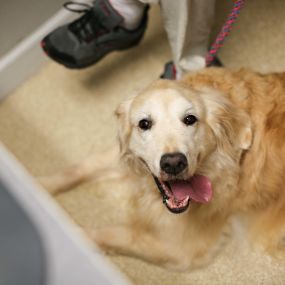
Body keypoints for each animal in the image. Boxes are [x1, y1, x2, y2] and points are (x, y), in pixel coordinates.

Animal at [39, 67, 284, 270]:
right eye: (144, 124)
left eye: (190, 119)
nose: (174, 163)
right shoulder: (130, 159)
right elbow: (80, 168)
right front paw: (40, 186)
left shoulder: (182, 249)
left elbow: (116, 234)